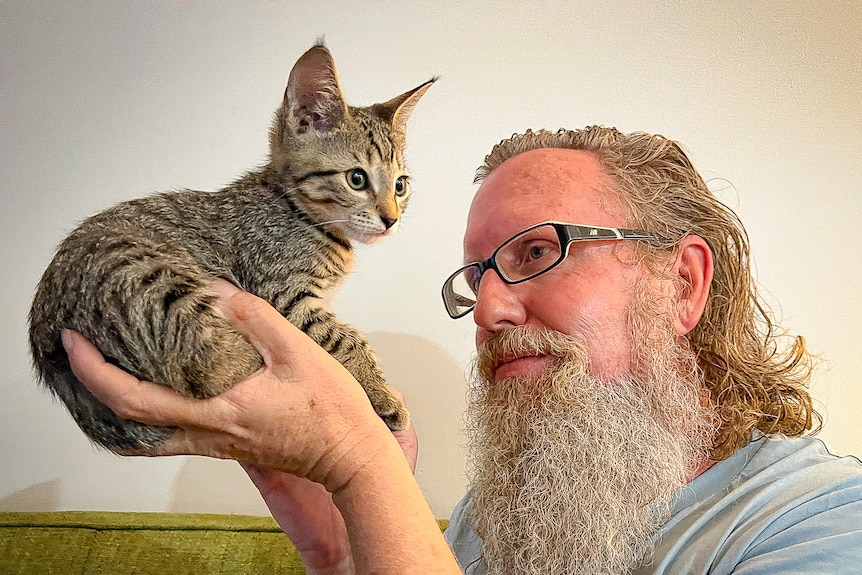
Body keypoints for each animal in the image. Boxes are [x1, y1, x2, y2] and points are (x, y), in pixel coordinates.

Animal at [27, 42, 436, 452]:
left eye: (401, 186)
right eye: (357, 179)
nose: (391, 219)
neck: (300, 213)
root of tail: (45, 341)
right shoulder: (285, 295)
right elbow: (348, 339)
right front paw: (383, 396)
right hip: (150, 276)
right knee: (209, 367)